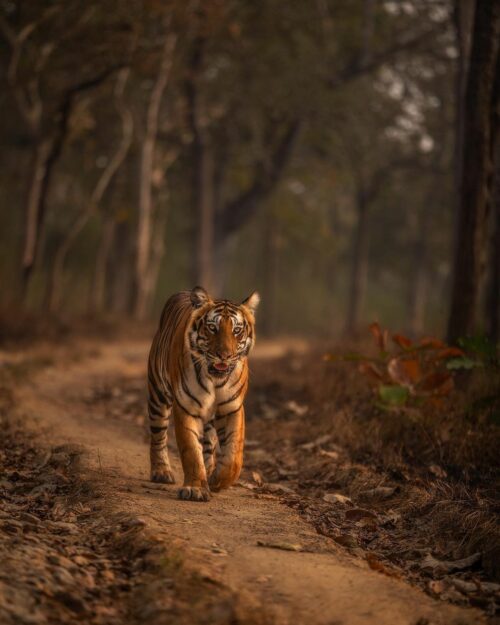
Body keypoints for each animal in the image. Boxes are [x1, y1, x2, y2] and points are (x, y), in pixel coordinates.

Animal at [146, 288, 260, 502]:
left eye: (236, 330)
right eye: (212, 328)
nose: (224, 355)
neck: (214, 379)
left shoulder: (232, 408)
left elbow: (234, 455)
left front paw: (217, 480)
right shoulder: (186, 406)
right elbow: (191, 450)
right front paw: (196, 488)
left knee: (208, 445)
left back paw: (209, 471)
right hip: (158, 395)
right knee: (158, 436)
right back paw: (161, 472)